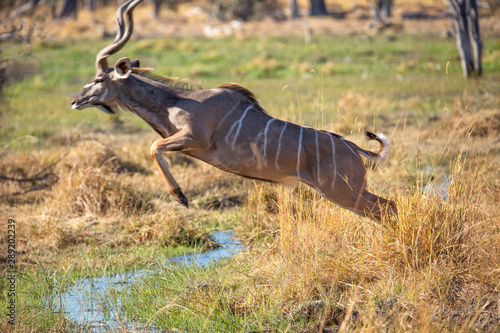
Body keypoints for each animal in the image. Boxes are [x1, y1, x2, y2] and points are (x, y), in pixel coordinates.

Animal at [71, 0, 398, 220]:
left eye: (99, 79)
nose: (75, 100)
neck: (176, 102)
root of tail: (354, 148)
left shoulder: (195, 139)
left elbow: (153, 147)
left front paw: (181, 197)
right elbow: (155, 147)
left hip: (342, 191)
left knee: (386, 209)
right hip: (346, 192)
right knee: (387, 206)